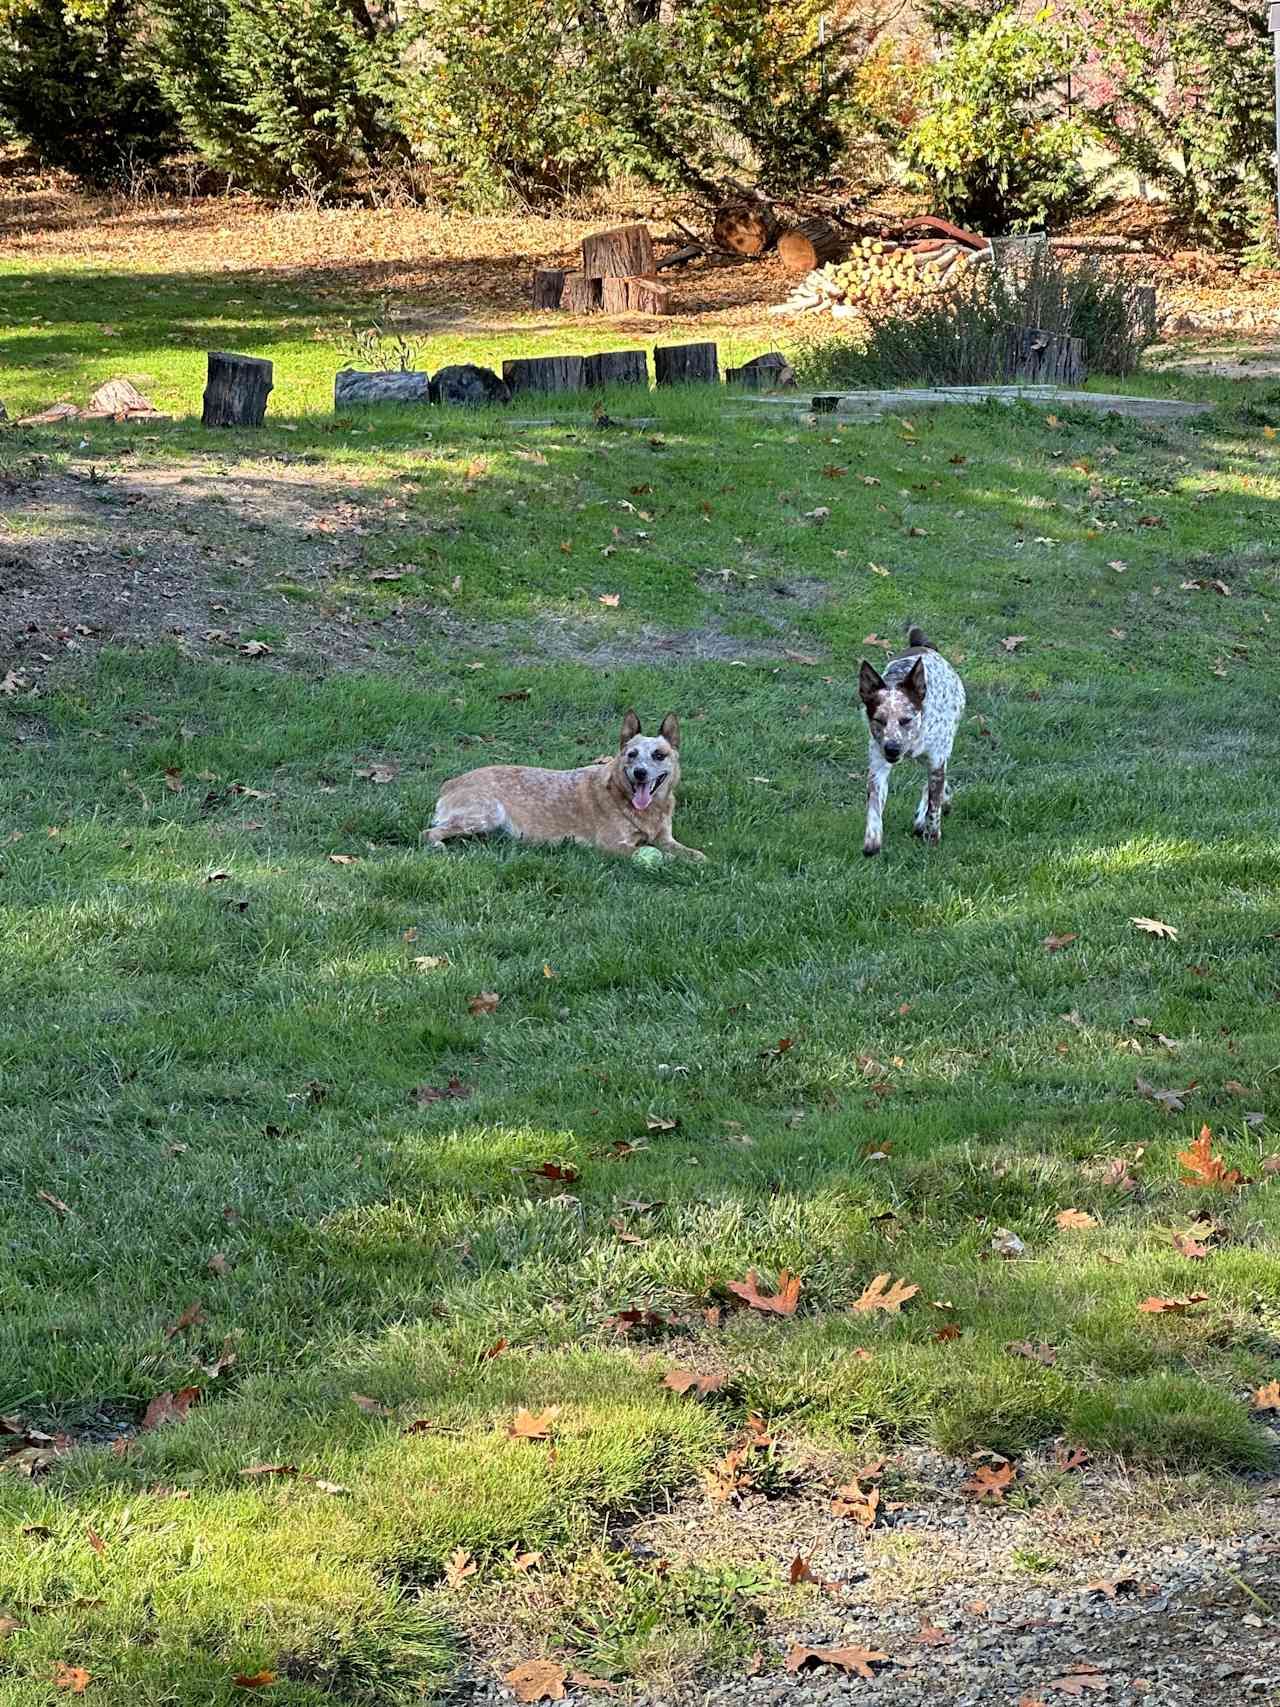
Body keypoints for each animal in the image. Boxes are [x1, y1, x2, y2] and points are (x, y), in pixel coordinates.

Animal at [423, 706, 713, 860]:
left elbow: (691, 852)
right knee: (428, 833)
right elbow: (659, 854)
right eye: (631, 754)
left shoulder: (665, 837)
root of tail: (450, 783)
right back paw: (438, 845)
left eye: (659, 755)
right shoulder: (612, 845)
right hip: (487, 814)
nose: (640, 773)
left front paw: (698, 859)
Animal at [856, 624, 969, 860]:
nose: (892, 749)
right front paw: (872, 841)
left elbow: (934, 806)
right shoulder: (878, 763)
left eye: (906, 720)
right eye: (878, 720)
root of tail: (924, 646)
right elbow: (874, 803)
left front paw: (932, 838)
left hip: (944, 746)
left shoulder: (936, 762)